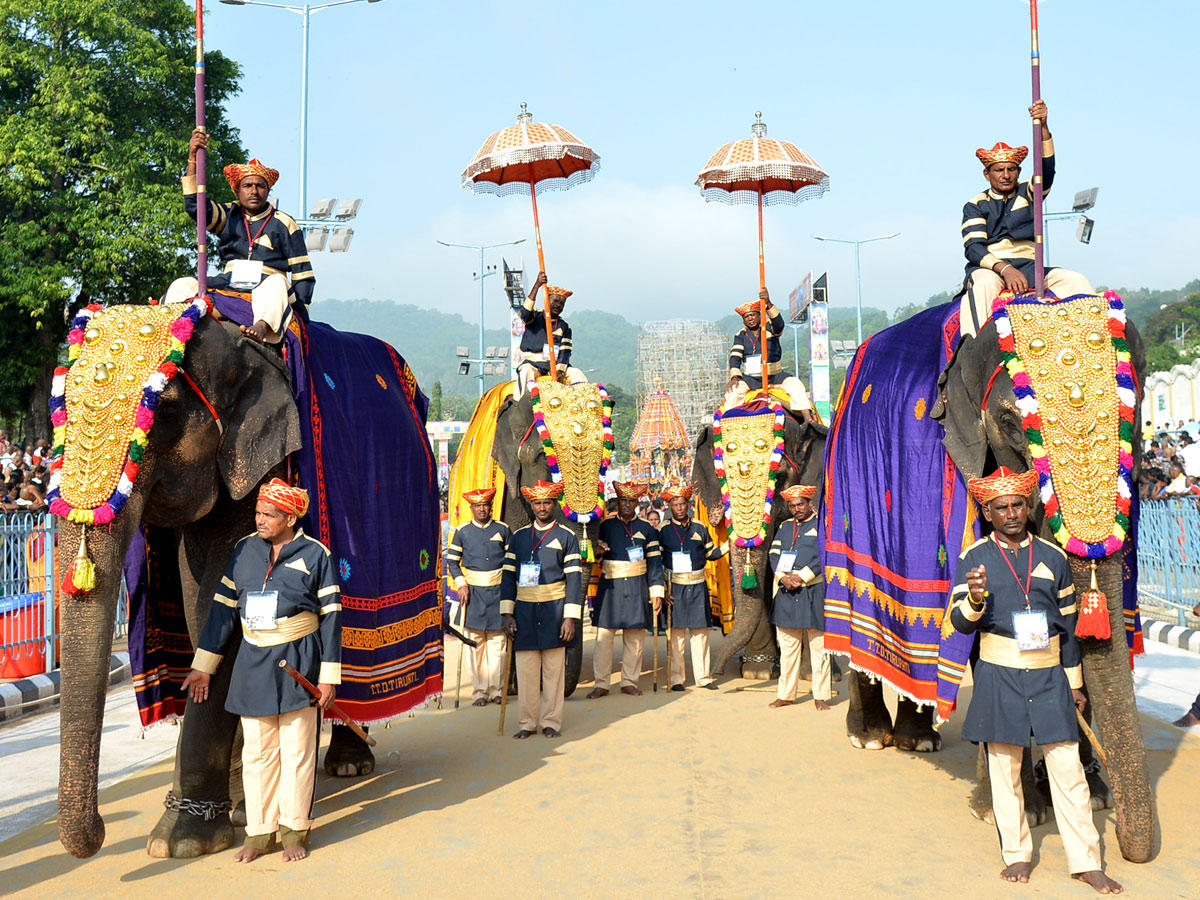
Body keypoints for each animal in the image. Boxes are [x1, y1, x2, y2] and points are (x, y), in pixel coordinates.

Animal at [49, 301, 441, 859]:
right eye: (59, 411)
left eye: (163, 414)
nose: (99, 835)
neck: (240, 344)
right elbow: (206, 616)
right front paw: (235, 811)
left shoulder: (263, 467)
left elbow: (231, 622)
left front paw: (179, 843)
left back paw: (350, 762)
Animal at [696, 405, 825, 681]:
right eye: (721, 480)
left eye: (781, 476)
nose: (714, 675)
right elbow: (762, 577)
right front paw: (758, 672)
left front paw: (811, 675)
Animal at [825, 296, 1152, 868]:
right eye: (1011, 422)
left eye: (1133, 413)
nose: (1133, 854)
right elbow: (980, 628)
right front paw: (1004, 810)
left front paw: (1090, 795)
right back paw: (870, 738)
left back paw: (917, 741)